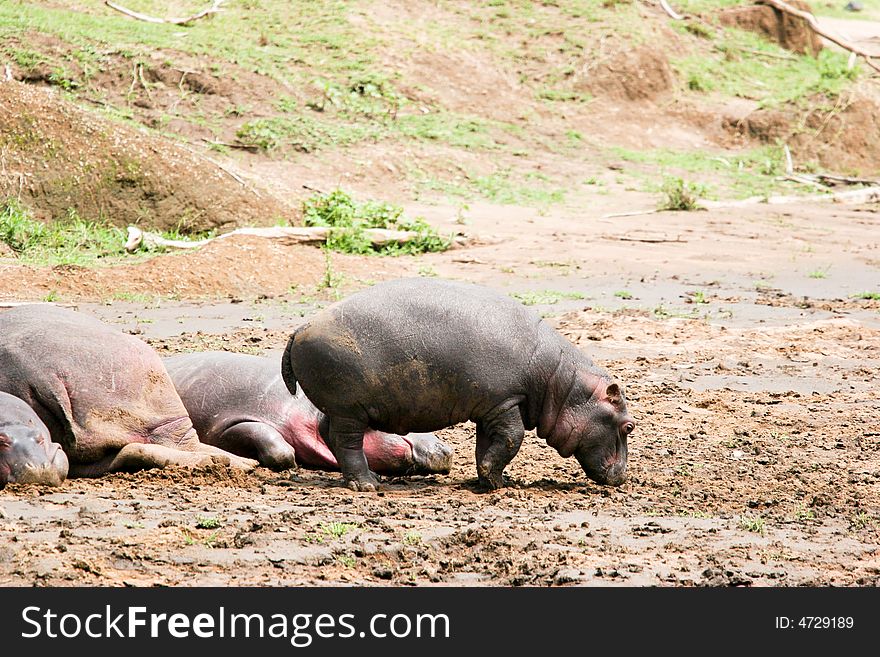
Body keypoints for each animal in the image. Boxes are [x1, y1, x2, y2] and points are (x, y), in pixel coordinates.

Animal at [286, 278, 636, 492]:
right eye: (629, 426)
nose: (623, 477)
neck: (562, 382)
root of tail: (300, 327)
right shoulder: (507, 400)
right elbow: (513, 438)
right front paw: (497, 482)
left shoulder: (491, 408)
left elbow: (488, 444)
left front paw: (492, 481)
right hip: (349, 410)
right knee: (346, 442)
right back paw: (367, 484)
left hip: (341, 409)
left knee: (330, 435)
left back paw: (369, 478)